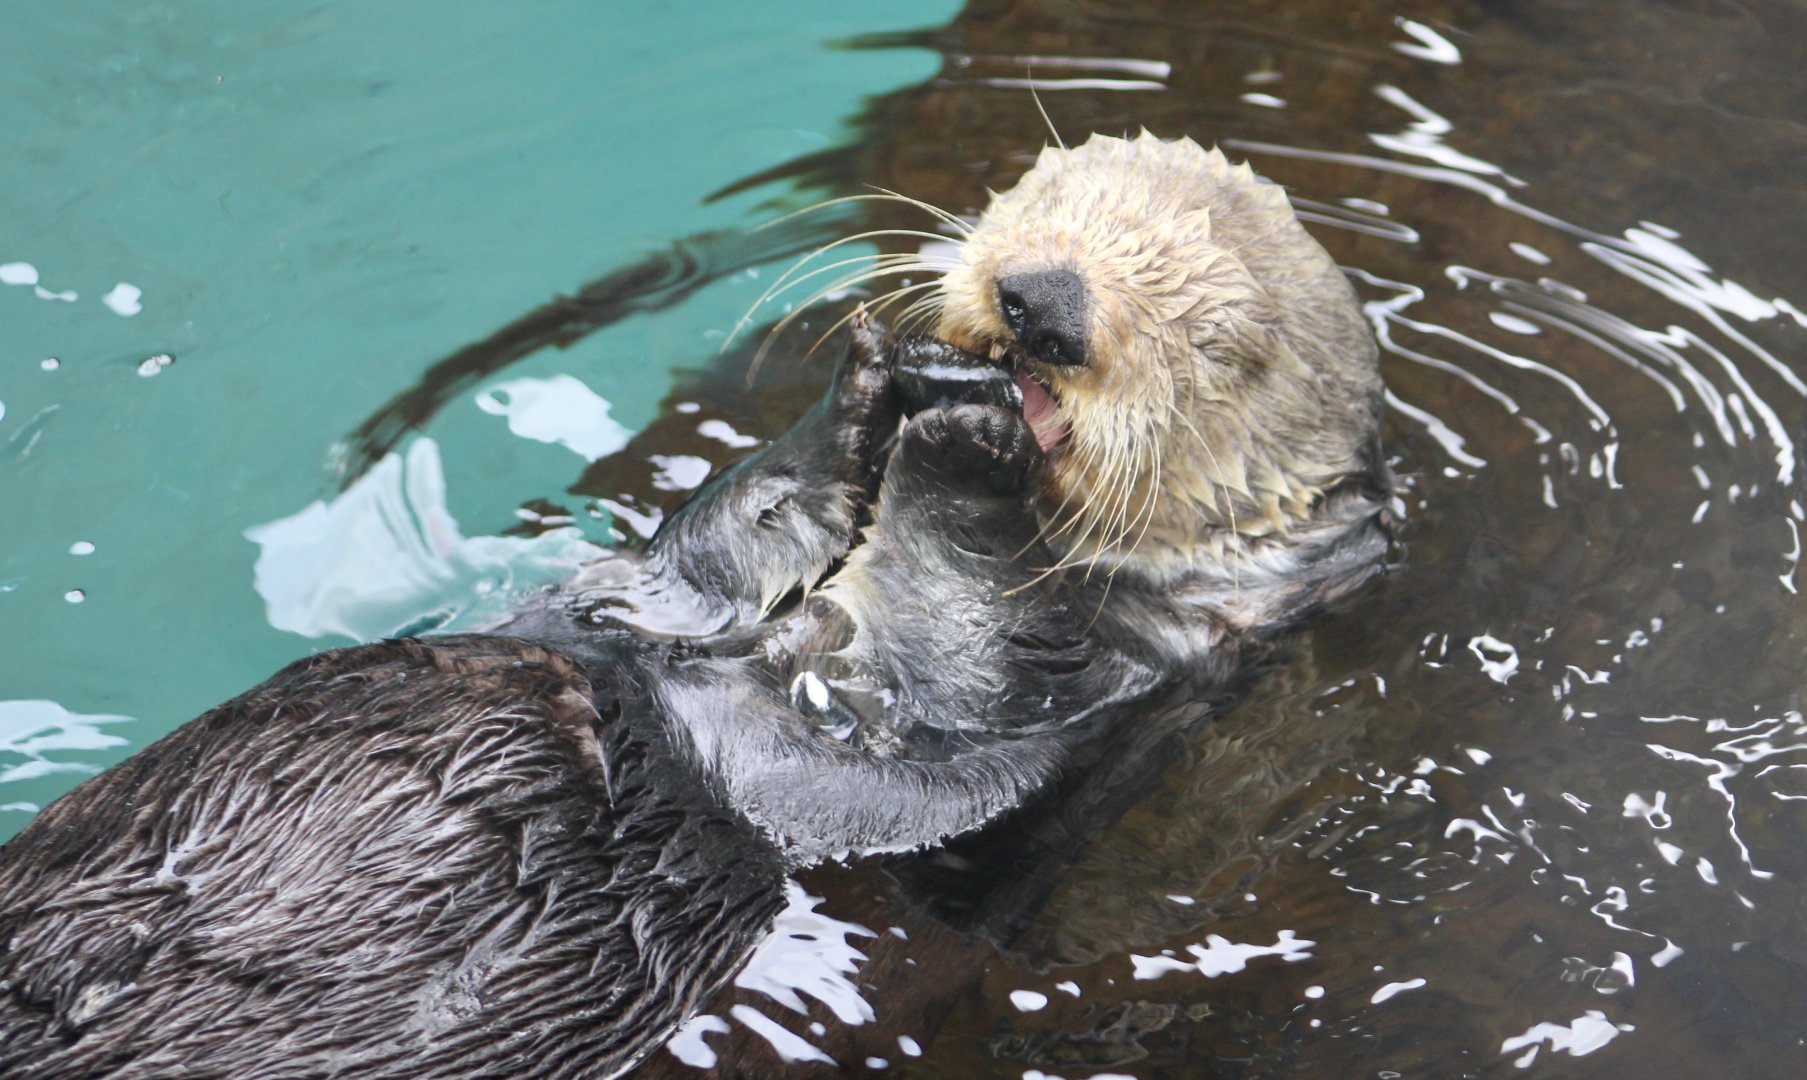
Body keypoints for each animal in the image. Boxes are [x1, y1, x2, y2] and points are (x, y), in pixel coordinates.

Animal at [0, 133, 1391, 1078]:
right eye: (1048, 201)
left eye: (1224, 349)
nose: (1038, 305)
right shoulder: (651, 596)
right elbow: (697, 558)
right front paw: (867, 390)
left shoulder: (1091, 692)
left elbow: (969, 665)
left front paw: (970, 446)